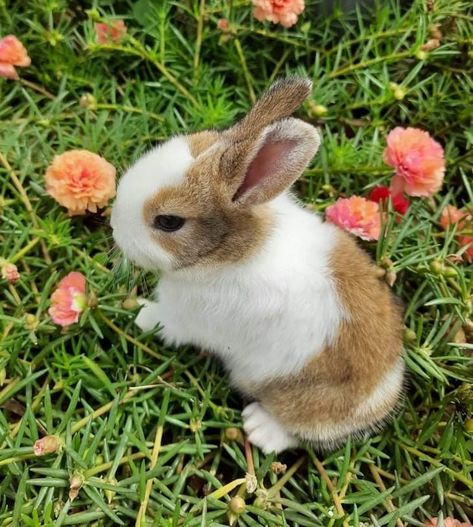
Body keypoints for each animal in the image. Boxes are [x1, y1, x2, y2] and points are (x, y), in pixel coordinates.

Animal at [109, 77, 402, 454]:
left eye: (169, 221)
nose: (114, 226)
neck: (227, 252)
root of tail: (382, 394)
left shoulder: (184, 317)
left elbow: (164, 322)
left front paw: (140, 314)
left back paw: (259, 428)